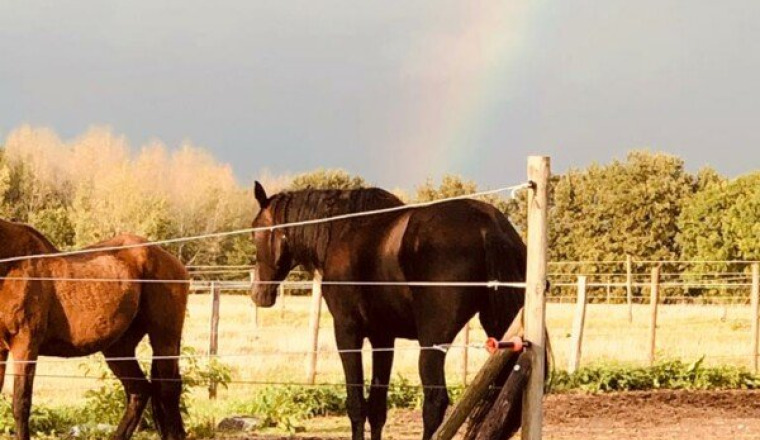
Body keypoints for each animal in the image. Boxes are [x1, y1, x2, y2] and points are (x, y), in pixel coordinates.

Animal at [0, 219, 189, 440]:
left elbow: (21, 403)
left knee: (168, 389)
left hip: (165, 339)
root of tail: (171, 260)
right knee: (139, 390)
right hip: (118, 348)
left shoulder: (25, 345)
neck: (11, 264)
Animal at [249, 182, 526, 440]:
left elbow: (356, 404)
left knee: (435, 402)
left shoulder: (347, 332)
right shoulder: (383, 339)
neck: (342, 231)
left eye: (256, 231)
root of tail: (488, 226)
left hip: (433, 343)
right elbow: (377, 407)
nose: (258, 294)